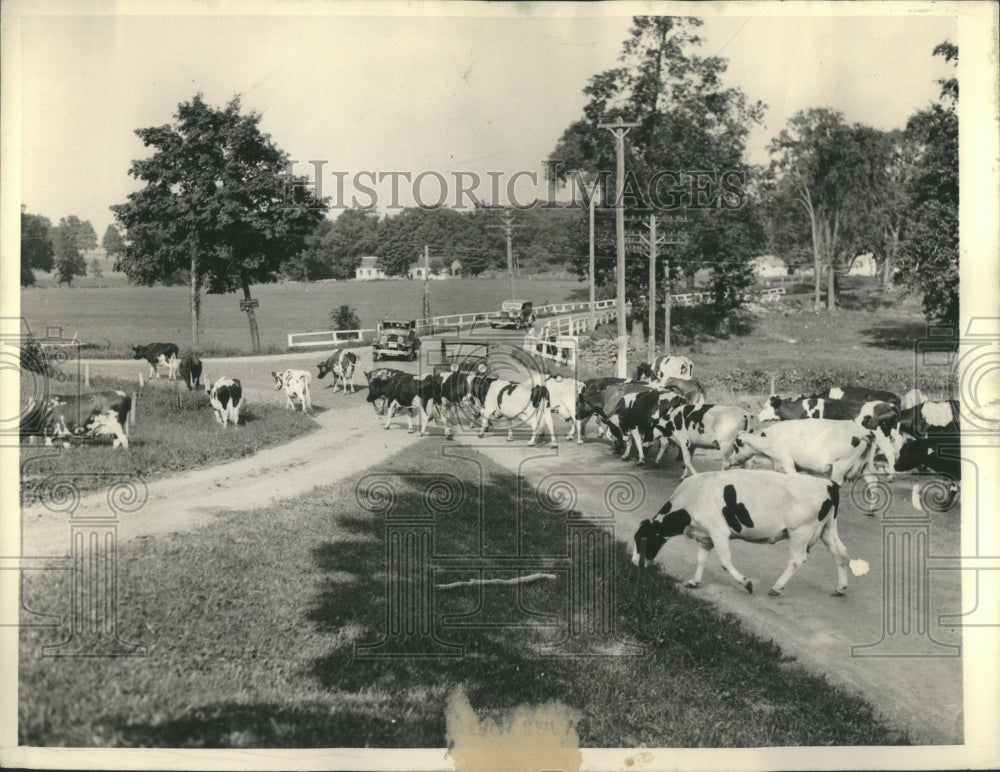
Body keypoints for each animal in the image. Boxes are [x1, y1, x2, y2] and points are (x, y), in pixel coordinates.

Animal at [628, 470, 848, 596]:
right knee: (842, 554)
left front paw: (747, 583)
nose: (633, 563)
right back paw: (840, 588)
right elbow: (701, 559)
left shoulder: (718, 531)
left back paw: (776, 587)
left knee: (796, 560)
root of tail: (828, 484)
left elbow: (725, 562)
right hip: (827, 529)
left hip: (800, 531)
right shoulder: (705, 535)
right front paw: (694, 581)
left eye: (642, 539)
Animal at [728, 420, 876, 486]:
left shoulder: (787, 462)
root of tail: (865, 431)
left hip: (841, 466)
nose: (731, 460)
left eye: (736, 446)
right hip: (865, 465)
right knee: (873, 480)